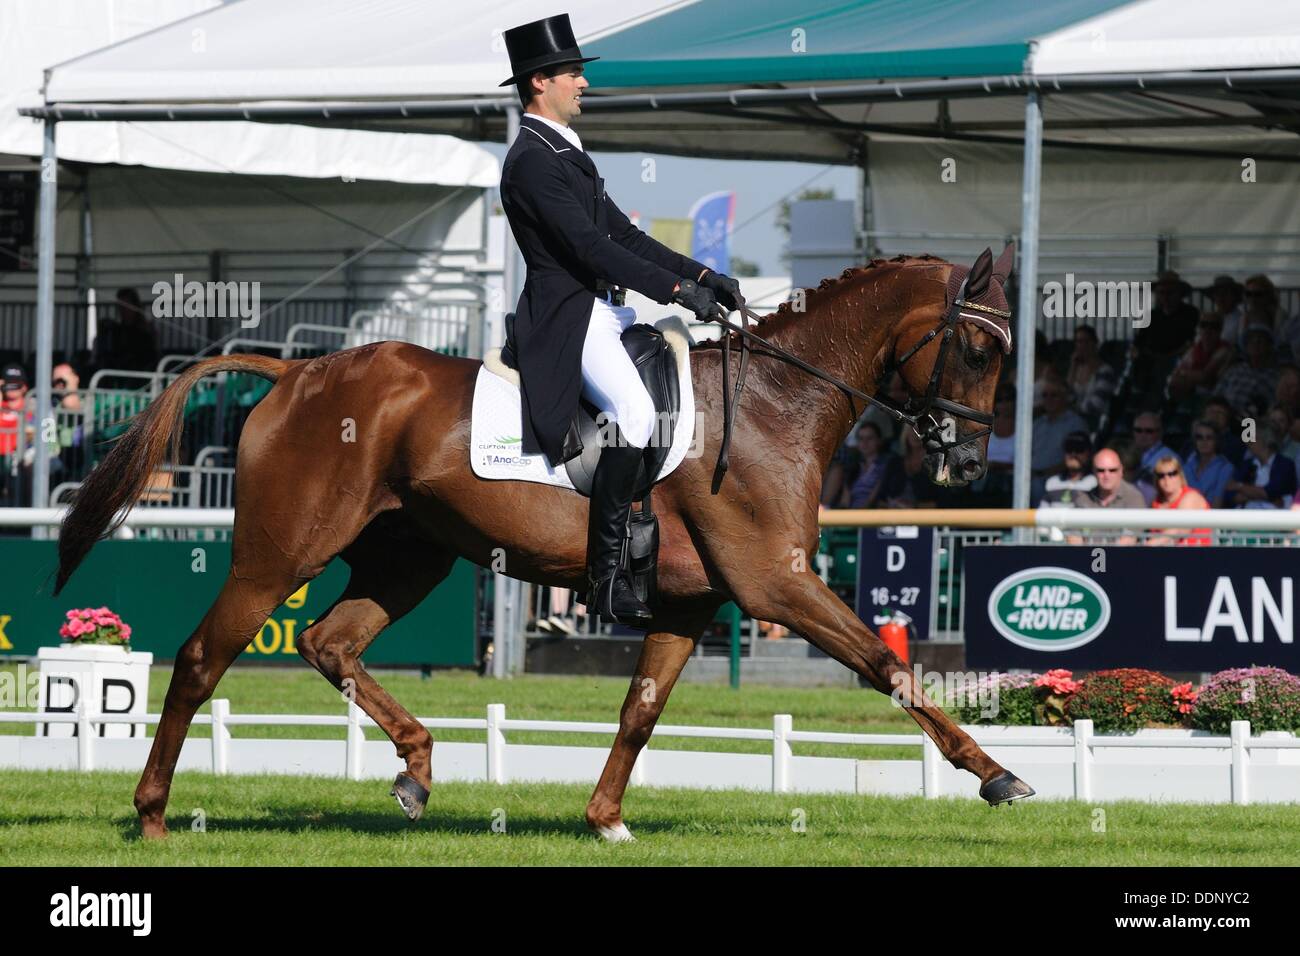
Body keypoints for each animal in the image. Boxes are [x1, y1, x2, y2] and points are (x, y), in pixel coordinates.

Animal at [53, 251, 1034, 842]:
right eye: (978, 351)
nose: (968, 464)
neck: (770, 404)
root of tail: (297, 372)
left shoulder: (692, 601)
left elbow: (640, 712)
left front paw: (605, 819)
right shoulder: (774, 586)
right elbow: (889, 664)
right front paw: (998, 777)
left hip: (411, 558)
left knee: (329, 643)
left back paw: (416, 772)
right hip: (275, 557)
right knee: (200, 660)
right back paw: (152, 815)